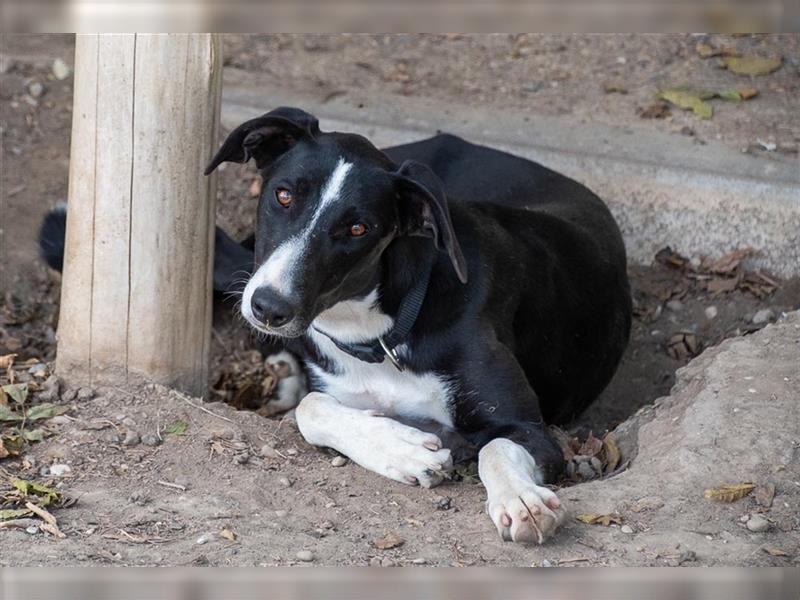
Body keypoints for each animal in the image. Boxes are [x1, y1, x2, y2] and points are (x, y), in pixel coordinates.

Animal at [205, 106, 632, 544]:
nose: (269, 307)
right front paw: (401, 449)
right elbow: (312, 407)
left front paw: (519, 497)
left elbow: (495, 447)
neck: (378, 335)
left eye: (358, 228)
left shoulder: (529, 428)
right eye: (284, 195)